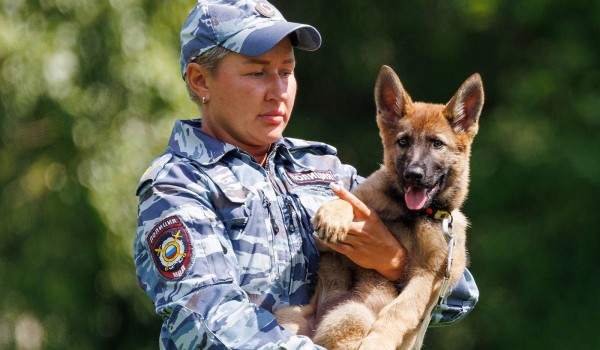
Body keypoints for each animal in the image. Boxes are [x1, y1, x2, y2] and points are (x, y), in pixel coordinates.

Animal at [276, 66, 482, 350]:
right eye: (403, 142)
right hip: (293, 317)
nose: (413, 175)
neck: (414, 214)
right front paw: (333, 217)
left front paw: (378, 341)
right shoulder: (330, 234)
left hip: (352, 313)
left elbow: (401, 310)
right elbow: (344, 200)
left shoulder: (433, 274)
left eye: (437, 144)